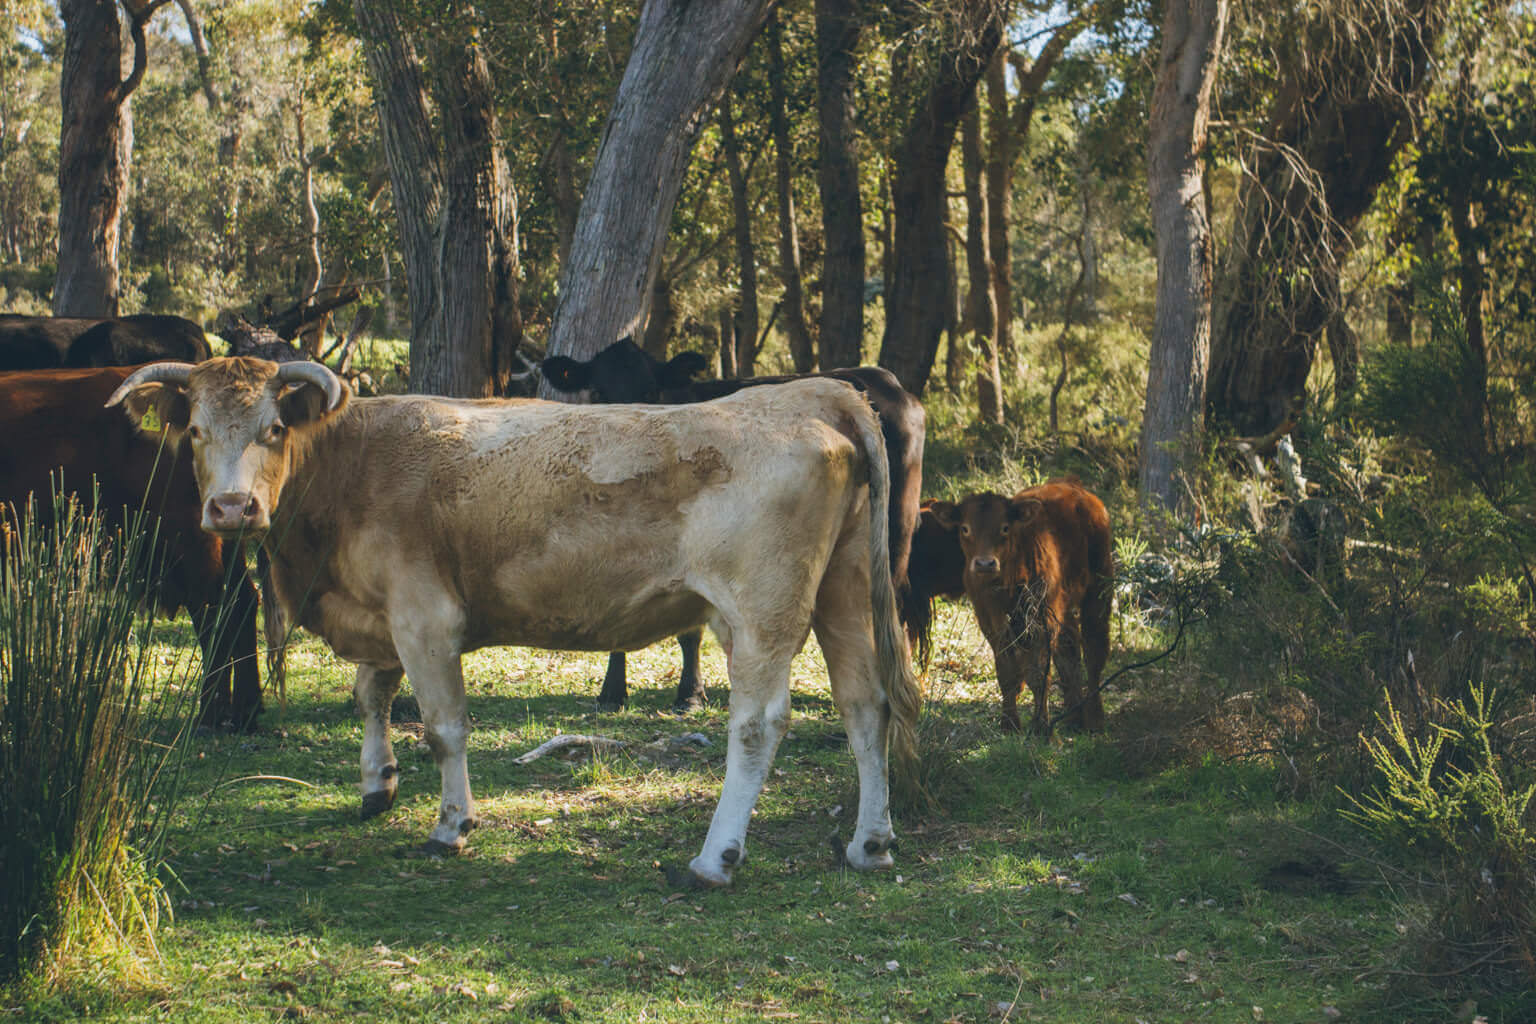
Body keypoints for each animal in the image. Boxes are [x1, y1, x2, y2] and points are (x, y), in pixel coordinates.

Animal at [541, 338, 926, 714]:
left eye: (650, 391)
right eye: (597, 392)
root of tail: (885, 382)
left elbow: (690, 631)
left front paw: (690, 695)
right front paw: (611, 692)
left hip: (894, 533)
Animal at [914, 480, 1113, 735]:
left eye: (1005, 528)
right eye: (965, 528)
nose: (985, 563)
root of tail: (1076, 489)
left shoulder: (1042, 620)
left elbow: (1038, 674)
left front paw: (1042, 728)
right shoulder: (990, 619)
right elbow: (1007, 673)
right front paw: (1009, 724)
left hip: (1099, 589)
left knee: (1094, 651)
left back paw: (1095, 719)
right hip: (1065, 608)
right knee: (1069, 652)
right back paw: (1073, 719)